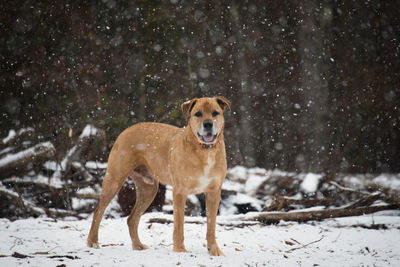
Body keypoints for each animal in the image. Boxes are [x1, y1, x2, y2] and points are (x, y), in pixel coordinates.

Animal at [87, 97, 231, 258]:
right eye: (198, 114)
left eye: (215, 113)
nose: (208, 124)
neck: (205, 150)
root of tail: (126, 130)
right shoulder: (180, 192)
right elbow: (179, 225)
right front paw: (180, 250)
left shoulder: (214, 192)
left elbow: (211, 225)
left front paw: (214, 250)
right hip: (114, 179)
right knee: (98, 210)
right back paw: (92, 241)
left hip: (148, 189)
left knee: (132, 219)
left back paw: (138, 245)